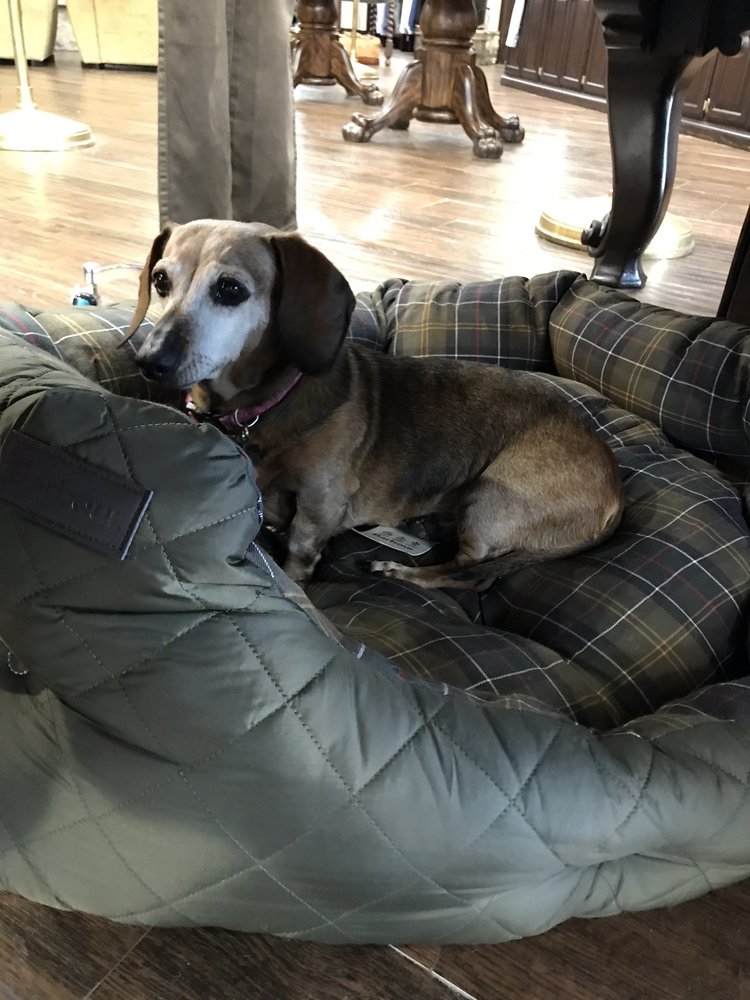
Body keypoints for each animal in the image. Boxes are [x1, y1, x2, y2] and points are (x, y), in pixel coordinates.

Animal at [124, 219, 623, 589]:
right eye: (160, 280)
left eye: (230, 289)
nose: (150, 361)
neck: (267, 407)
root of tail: (616, 493)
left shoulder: (319, 503)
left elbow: (300, 549)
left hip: (491, 500)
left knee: (464, 571)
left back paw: (400, 569)